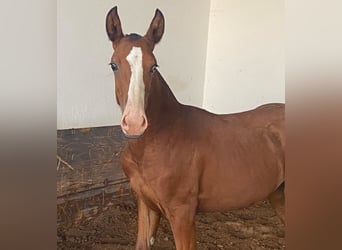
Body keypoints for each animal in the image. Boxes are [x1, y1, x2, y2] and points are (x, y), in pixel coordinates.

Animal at [105, 6, 284, 250]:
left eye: (153, 66)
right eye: (113, 65)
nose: (134, 123)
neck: (154, 144)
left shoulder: (182, 215)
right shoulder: (146, 205)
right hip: (279, 195)